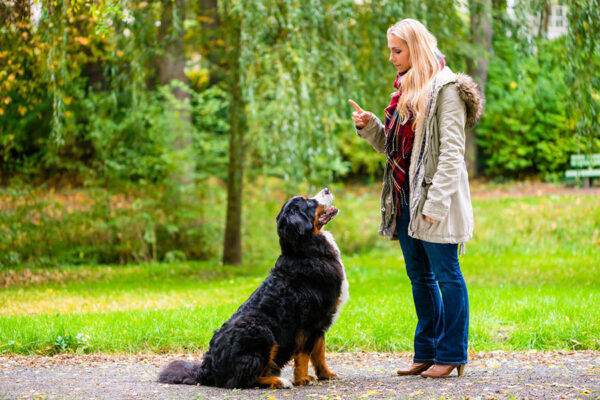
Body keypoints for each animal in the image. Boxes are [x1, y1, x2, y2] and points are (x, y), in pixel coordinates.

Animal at [157, 189, 350, 390]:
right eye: (308, 201)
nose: (327, 190)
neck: (306, 252)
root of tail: (205, 370)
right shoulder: (310, 321)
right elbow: (304, 355)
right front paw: (303, 379)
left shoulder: (321, 322)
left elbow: (319, 352)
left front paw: (326, 374)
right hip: (261, 330)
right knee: (243, 380)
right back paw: (280, 381)